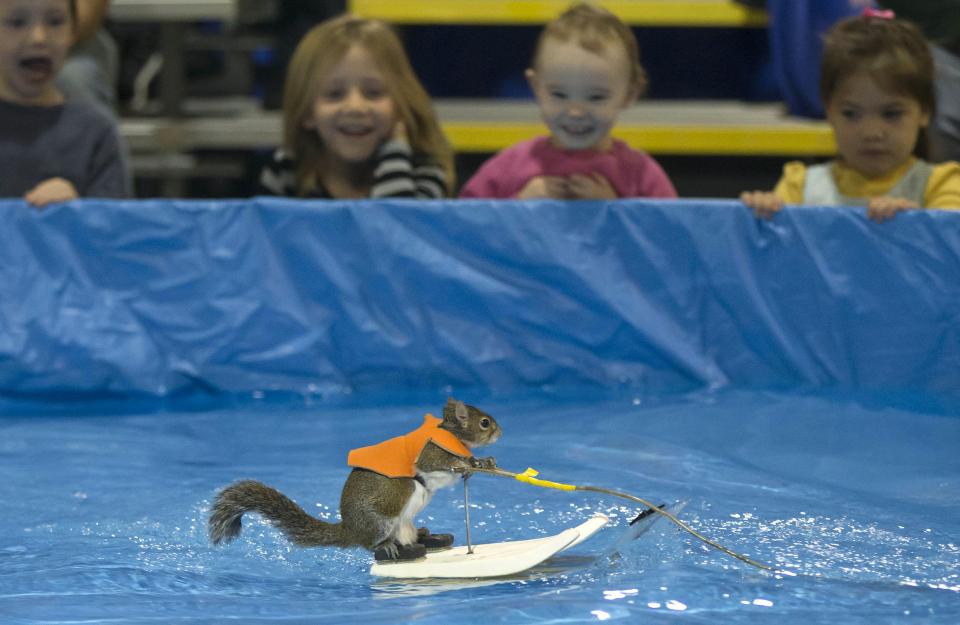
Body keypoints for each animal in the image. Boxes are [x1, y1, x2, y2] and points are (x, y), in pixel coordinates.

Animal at [206, 398, 498, 564]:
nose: (499, 432)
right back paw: (389, 546)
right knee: (374, 543)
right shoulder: (430, 455)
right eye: (484, 423)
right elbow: (436, 467)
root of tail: (351, 530)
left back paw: (428, 536)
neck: (450, 433)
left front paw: (481, 463)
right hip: (385, 513)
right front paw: (467, 463)